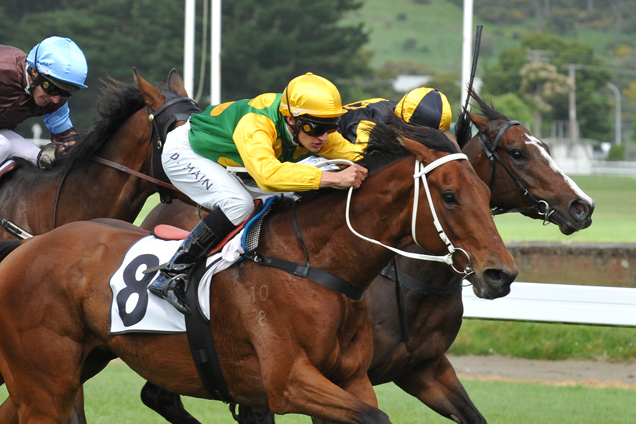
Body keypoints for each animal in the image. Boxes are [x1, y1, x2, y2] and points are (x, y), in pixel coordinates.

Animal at [0, 121, 516, 422]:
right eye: (449, 196)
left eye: (484, 191)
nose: (501, 274)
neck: (314, 265)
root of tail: (26, 247)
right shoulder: (288, 382)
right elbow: (377, 418)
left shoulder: (353, 378)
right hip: (47, 384)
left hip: (70, 368)